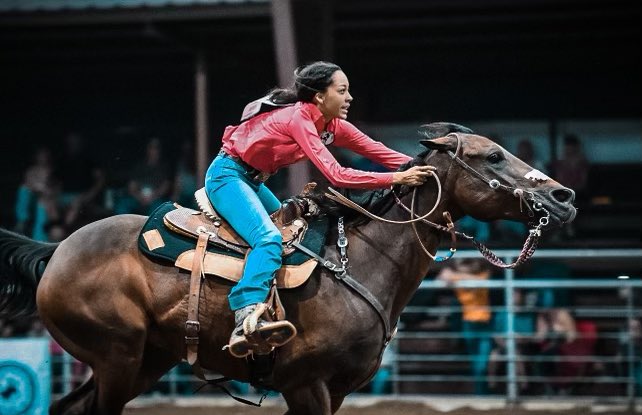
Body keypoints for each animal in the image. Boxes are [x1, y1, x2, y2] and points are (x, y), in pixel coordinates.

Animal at [0, 124, 572, 415]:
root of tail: (58, 249)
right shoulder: (305, 384)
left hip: (145, 360)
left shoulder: (335, 390)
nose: (562, 196)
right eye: (494, 156)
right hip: (117, 356)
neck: (358, 260)